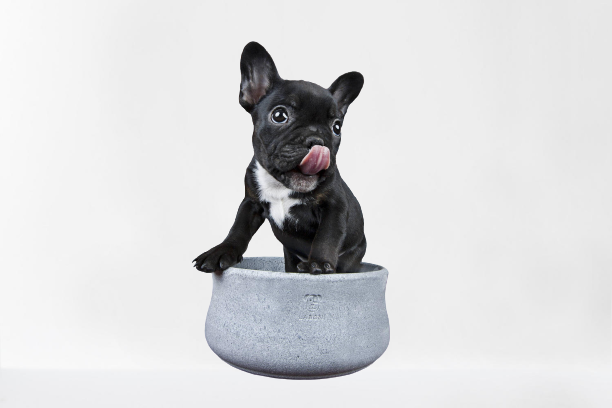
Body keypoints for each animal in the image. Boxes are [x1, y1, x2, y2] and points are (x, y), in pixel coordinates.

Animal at [193, 42, 365, 274]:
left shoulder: (334, 205)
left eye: (336, 127)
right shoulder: (251, 203)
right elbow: (238, 229)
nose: (317, 140)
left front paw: (319, 263)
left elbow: (327, 236)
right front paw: (221, 251)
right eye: (279, 115)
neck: (280, 185)